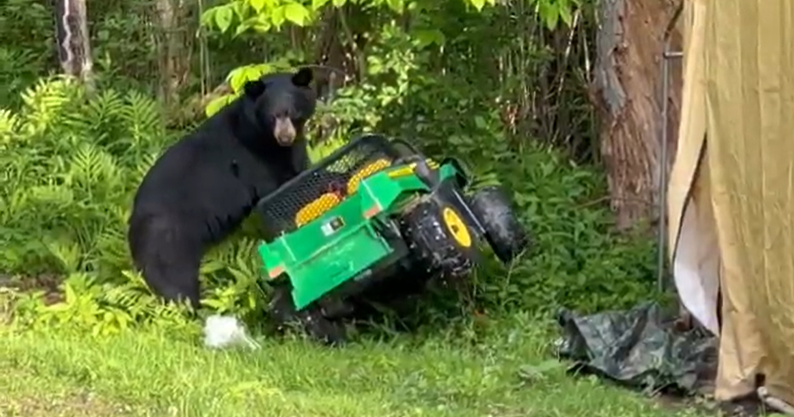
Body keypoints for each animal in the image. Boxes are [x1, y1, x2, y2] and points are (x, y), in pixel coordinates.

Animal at [127, 68, 317, 310]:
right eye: (273, 116)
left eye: (293, 112)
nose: (285, 137)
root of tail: (133, 220)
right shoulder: (258, 159)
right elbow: (281, 188)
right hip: (168, 237)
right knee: (174, 278)